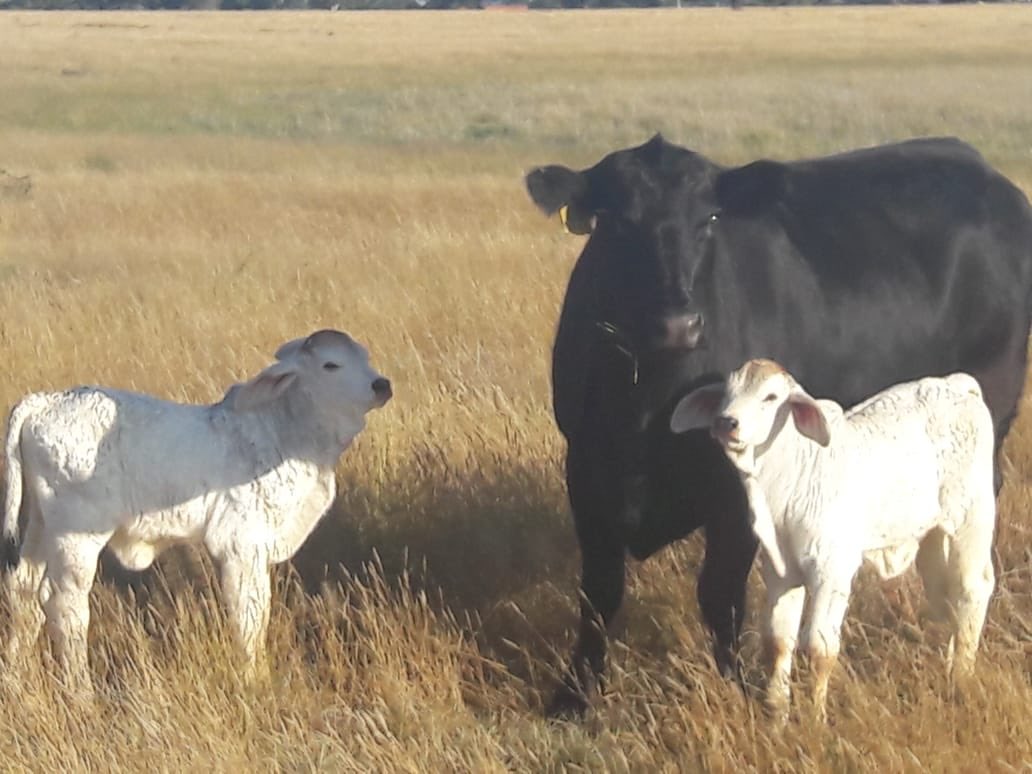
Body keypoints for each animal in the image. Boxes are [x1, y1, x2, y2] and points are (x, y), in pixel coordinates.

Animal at [524, 134, 1032, 717]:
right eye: (616, 220)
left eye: (709, 218)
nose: (678, 324)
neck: (646, 400)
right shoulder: (587, 471)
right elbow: (599, 593)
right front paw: (572, 695)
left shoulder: (738, 497)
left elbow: (720, 595)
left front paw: (737, 687)